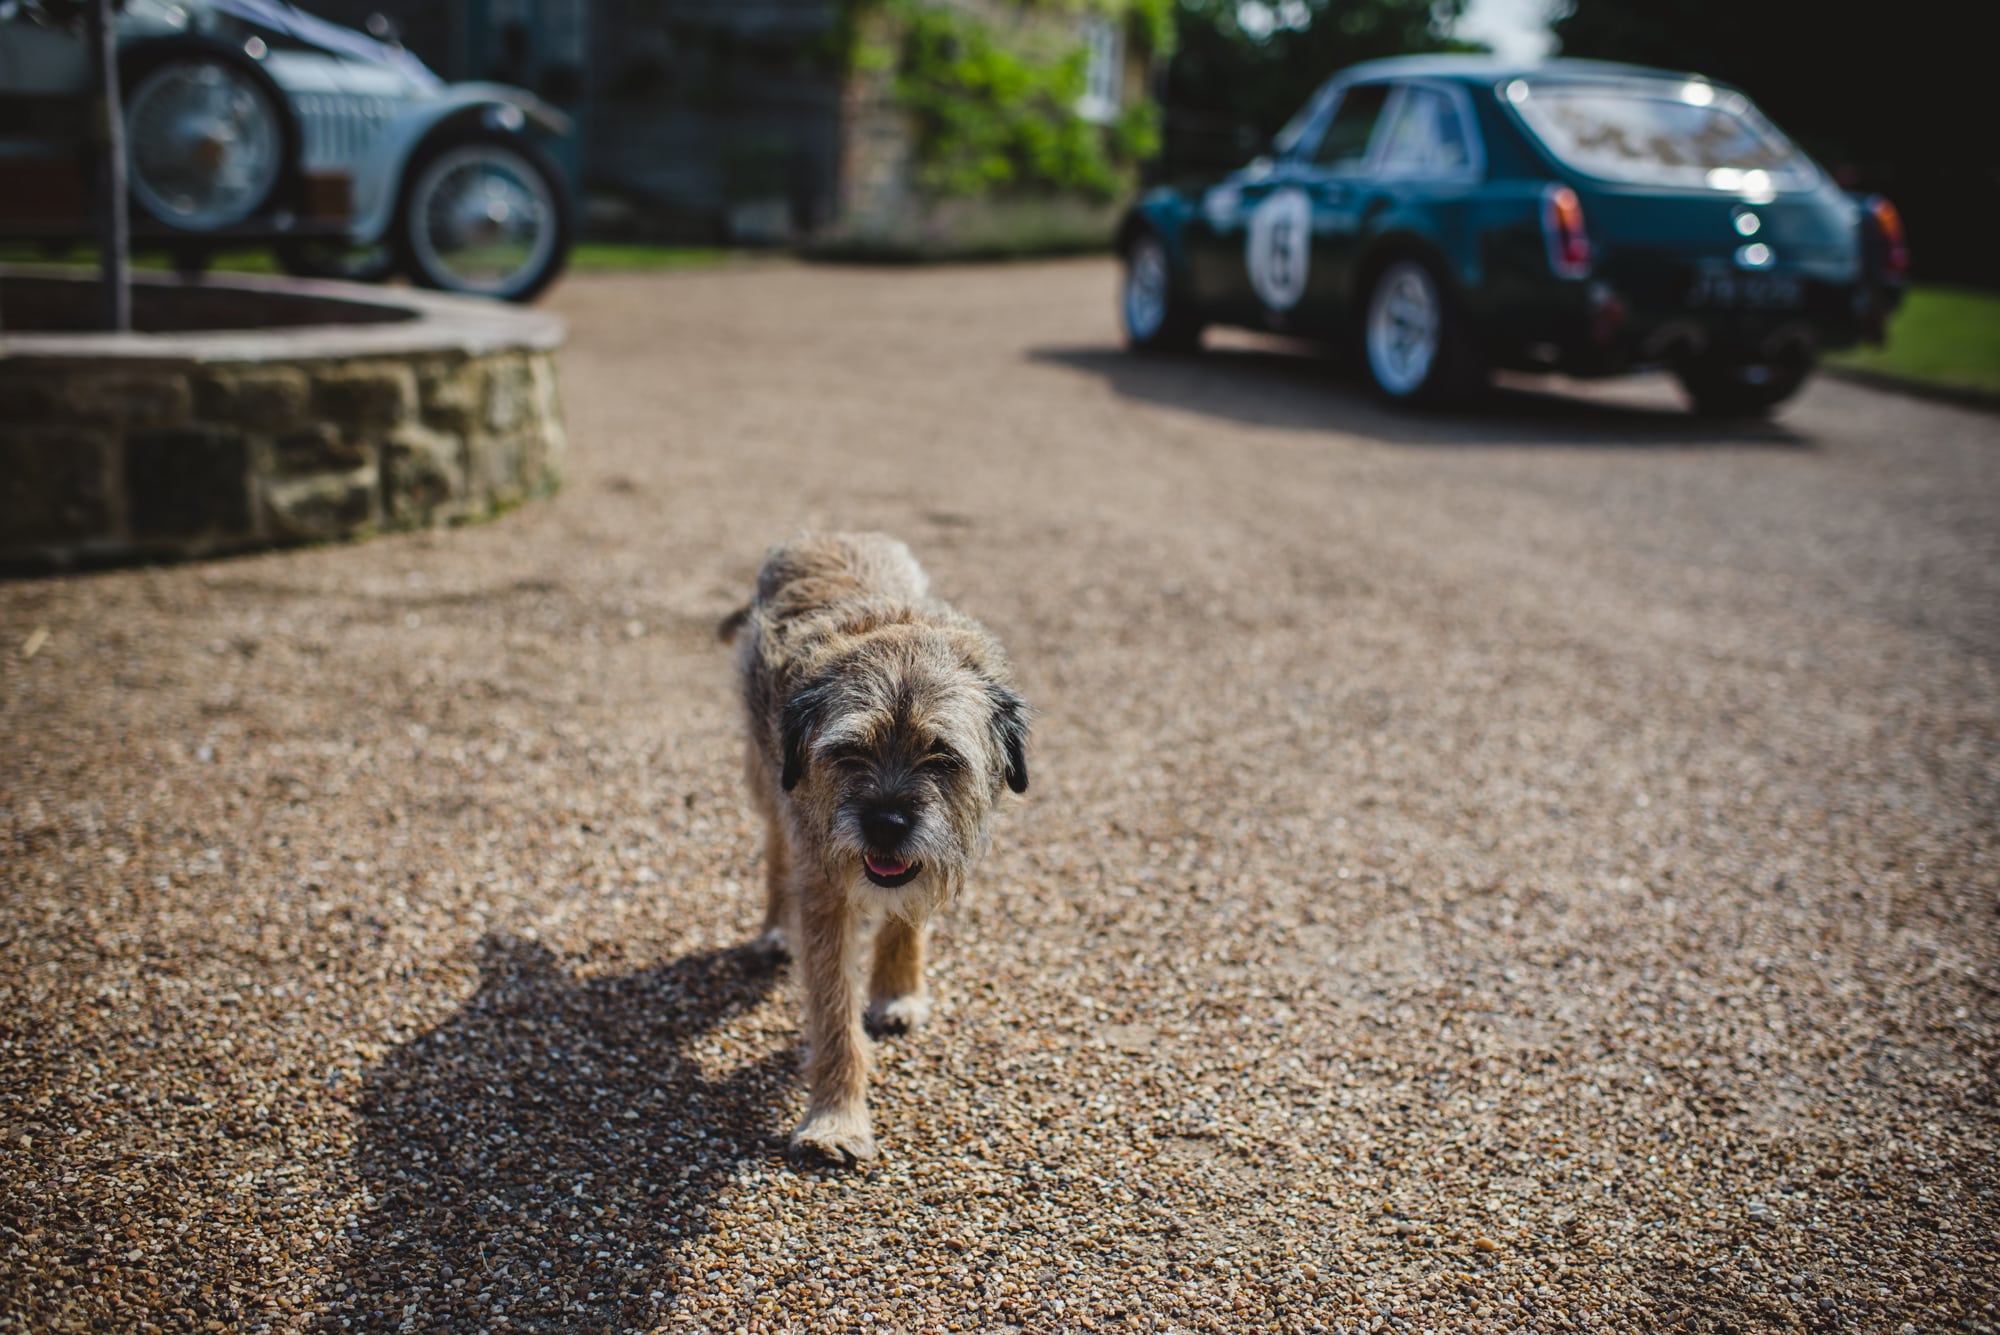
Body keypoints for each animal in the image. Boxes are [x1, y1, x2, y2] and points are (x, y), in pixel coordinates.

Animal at [724, 535, 1032, 1159]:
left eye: (942, 756)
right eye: (848, 753)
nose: (887, 824)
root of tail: (822, 535)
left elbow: (906, 918)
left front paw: (897, 990)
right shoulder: (823, 889)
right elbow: (834, 1011)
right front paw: (835, 1120)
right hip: (766, 777)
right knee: (775, 849)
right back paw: (774, 929)